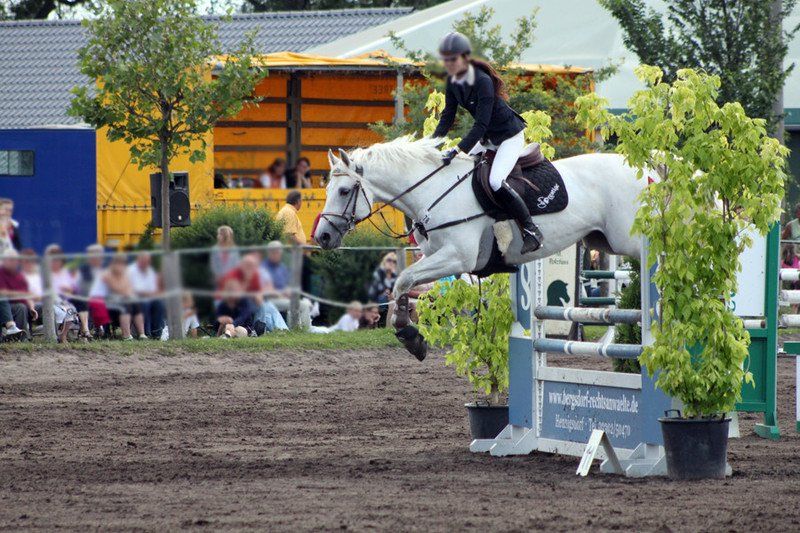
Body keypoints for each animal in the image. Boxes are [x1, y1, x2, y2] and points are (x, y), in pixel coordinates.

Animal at [315, 136, 647, 359]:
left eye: (344, 191)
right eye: (328, 189)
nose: (323, 237)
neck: (433, 191)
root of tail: (644, 167)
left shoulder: (457, 257)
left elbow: (403, 279)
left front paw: (409, 335)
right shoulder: (437, 256)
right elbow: (405, 285)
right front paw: (410, 335)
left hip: (628, 241)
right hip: (604, 241)